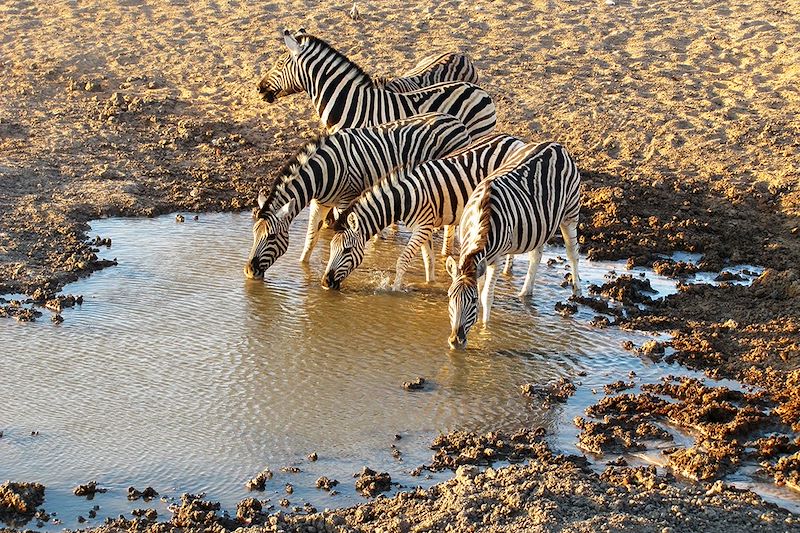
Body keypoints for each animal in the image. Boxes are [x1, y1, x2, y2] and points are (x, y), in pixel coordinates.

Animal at [242, 111, 468, 278]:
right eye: (253, 234)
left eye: (271, 237)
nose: (249, 271)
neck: (323, 172)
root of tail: (455, 120)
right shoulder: (320, 203)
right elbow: (311, 239)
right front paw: (302, 266)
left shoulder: (346, 199)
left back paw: (445, 251)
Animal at [322, 133, 528, 290]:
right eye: (331, 248)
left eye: (347, 250)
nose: (325, 282)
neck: (405, 198)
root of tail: (515, 139)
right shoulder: (425, 227)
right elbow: (429, 260)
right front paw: (429, 284)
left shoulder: (422, 227)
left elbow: (403, 260)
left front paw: (394, 289)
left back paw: (508, 270)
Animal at [444, 141, 580, 350]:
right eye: (450, 296)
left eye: (472, 301)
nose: (455, 342)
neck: (481, 217)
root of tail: (555, 144)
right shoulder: (480, 262)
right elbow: (481, 288)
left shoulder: (496, 259)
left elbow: (486, 295)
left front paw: (485, 330)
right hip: (541, 224)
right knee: (536, 256)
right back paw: (525, 293)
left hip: (570, 213)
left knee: (573, 253)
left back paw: (577, 289)